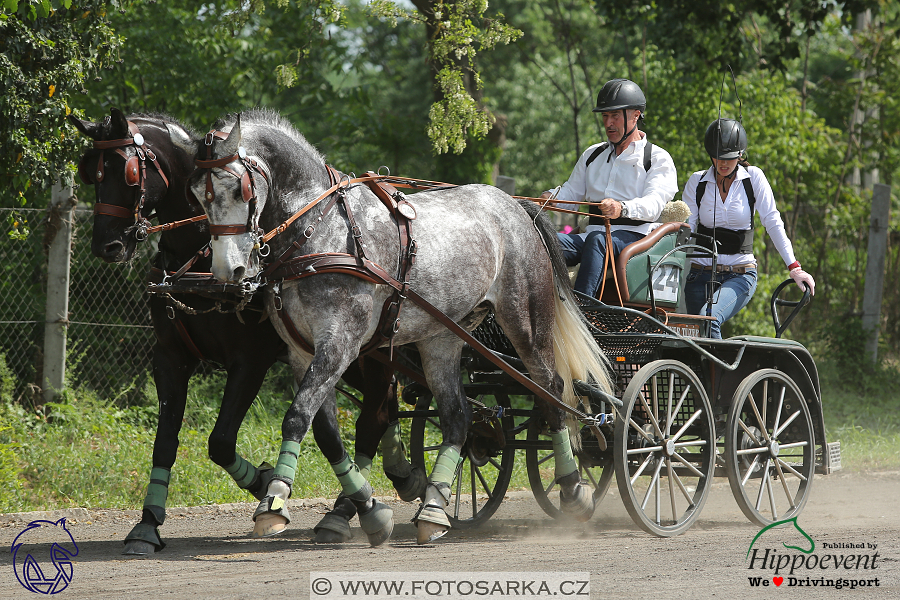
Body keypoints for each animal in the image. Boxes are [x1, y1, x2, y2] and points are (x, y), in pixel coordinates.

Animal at [69, 109, 422, 552]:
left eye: (129, 172)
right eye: (90, 173)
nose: (107, 246)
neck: (199, 260)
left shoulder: (250, 361)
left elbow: (220, 441)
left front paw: (265, 484)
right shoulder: (169, 357)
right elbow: (165, 442)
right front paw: (147, 524)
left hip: (364, 353)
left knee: (375, 414)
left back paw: (361, 504)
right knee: (383, 410)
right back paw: (398, 477)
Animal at [184, 109, 616, 544]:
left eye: (239, 190)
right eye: (198, 197)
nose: (227, 271)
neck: (321, 233)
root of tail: (516, 206)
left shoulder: (339, 344)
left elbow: (298, 416)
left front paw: (274, 500)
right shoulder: (302, 352)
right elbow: (324, 431)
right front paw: (367, 508)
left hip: (526, 321)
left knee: (552, 392)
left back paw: (573, 490)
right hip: (442, 337)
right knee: (458, 415)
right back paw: (435, 507)